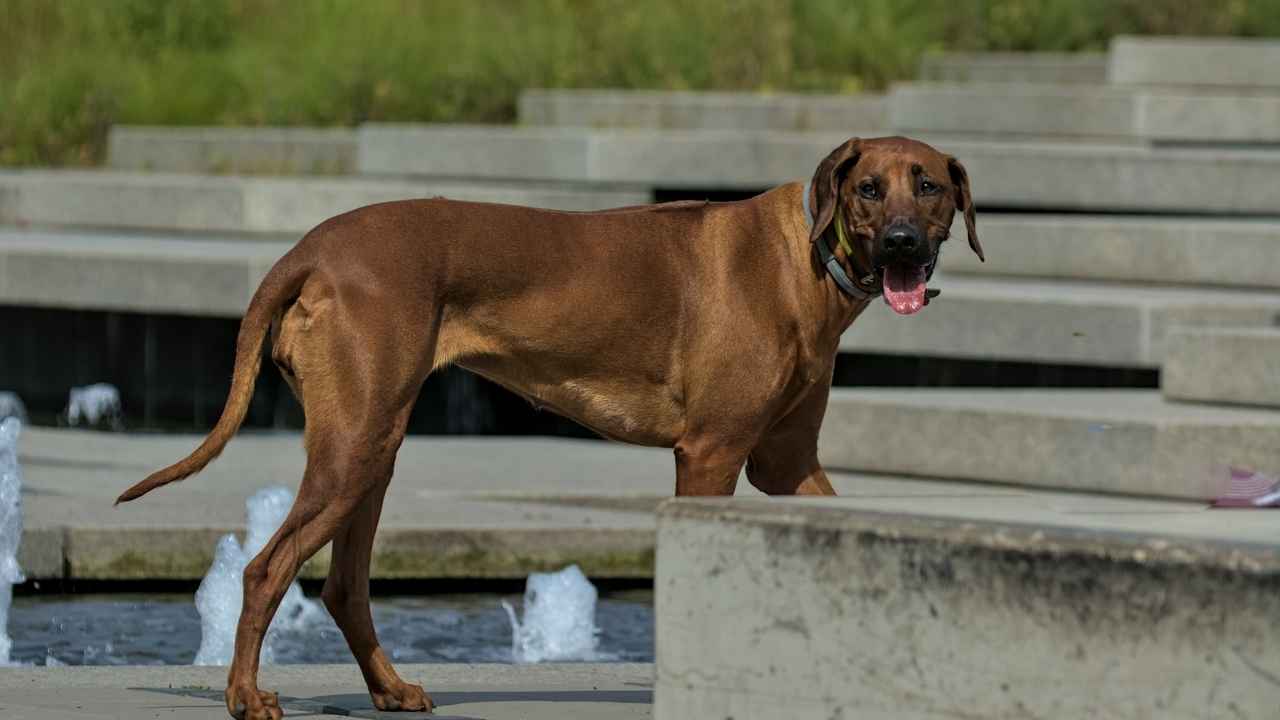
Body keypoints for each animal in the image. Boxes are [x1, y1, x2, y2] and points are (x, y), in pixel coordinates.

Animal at [117, 135, 977, 717]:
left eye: (929, 186)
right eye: (869, 189)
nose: (903, 242)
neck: (806, 261)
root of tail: (310, 248)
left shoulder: (786, 464)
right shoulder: (711, 453)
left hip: (373, 445)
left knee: (342, 585)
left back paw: (389, 688)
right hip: (356, 444)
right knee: (266, 570)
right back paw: (246, 696)